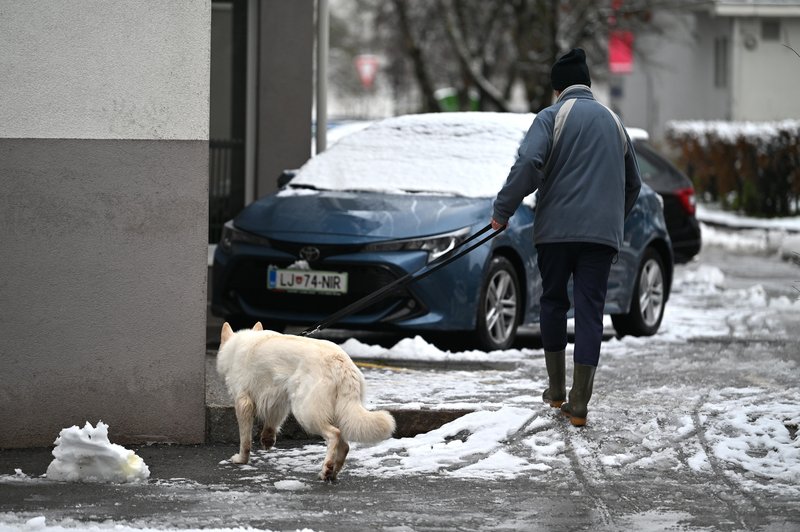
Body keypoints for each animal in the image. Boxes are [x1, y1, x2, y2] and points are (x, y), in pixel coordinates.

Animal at [217, 322, 396, 480]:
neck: (236, 346)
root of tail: (341, 362)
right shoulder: (278, 399)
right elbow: (271, 423)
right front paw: (267, 440)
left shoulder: (243, 403)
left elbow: (245, 440)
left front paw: (241, 459)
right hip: (335, 412)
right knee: (345, 446)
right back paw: (332, 473)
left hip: (305, 413)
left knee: (334, 435)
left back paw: (327, 468)